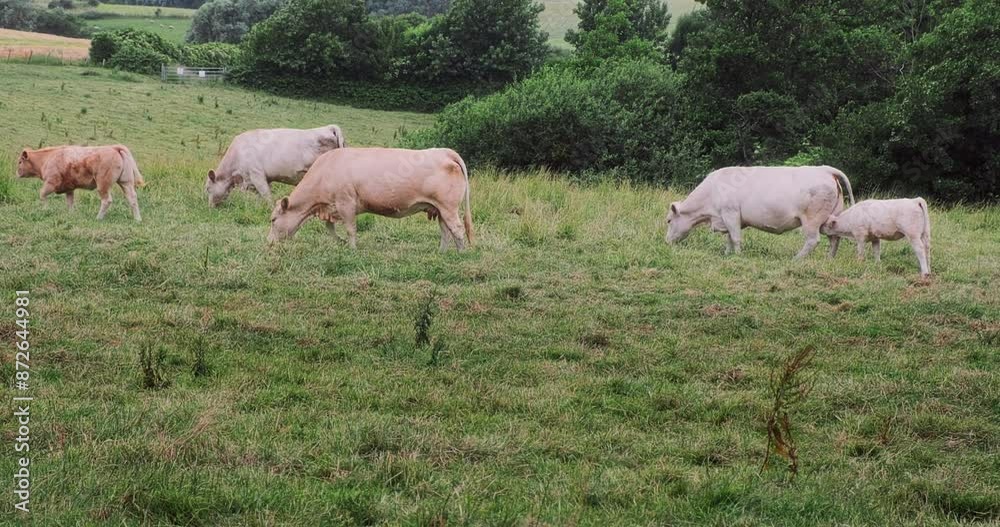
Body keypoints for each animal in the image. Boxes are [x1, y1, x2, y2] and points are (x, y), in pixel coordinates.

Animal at [16, 144, 145, 222]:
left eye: (20, 162)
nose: (16, 173)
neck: (47, 158)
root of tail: (114, 147)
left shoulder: (51, 182)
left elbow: (42, 194)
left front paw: (45, 210)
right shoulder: (69, 188)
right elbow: (70, 202)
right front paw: (71, 215)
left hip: (103, 184)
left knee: (107, 200)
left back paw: (98, 218)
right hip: (126, 182)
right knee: (132, 198)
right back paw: (137, 219)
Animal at [267, 147, 473, 251]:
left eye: (273, 219)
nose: (268, 243)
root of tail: (445, 151)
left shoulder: (346, 203)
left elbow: (350, 229)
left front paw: (352, 249)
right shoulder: (331, 207)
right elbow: (330, 228)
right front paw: (340, 242)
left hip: (448, 207)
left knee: (457, 229)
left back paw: (460, 254)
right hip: (439, 209)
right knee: (446, 231)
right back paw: (441, 253)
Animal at [666, 166, 855, 258]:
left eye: (668, 221)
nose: (666, 241)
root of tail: (825, 169)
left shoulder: (730, 213)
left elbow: (735, 238)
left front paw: (738, 256)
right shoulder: (728, 219)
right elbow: (729, 238)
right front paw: (727, 254)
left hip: (811, 219)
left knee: (813, 240)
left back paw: (796, 259)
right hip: (831, 219)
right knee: (834, 239)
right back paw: (829, 259)